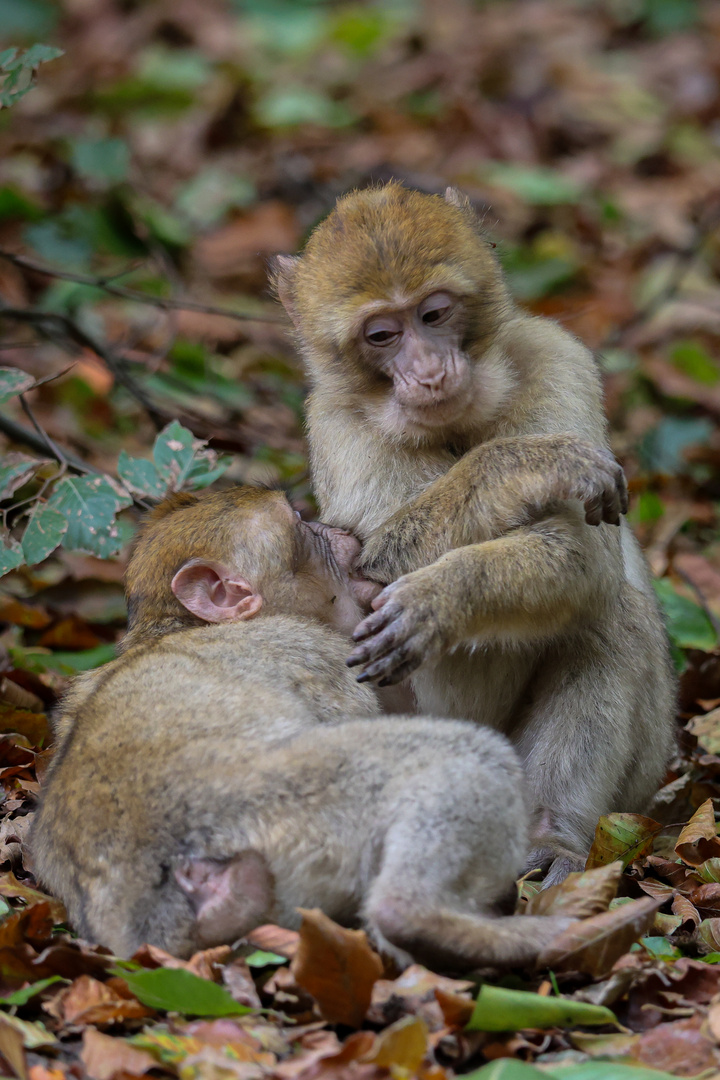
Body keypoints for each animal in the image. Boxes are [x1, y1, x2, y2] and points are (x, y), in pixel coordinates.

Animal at [32, 486, 574, 967]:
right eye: (301, 523)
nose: (337, 529)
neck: (176, 627)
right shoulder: (316, 650)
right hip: (297, 807)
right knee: (455, 753)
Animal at [269, 183, 677, 885]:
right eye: (383, 334)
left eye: (434, 314)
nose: (430, 370)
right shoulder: (335, 421)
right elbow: (362, 567)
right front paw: (526, 464)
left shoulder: (556, 358)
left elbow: (580, 555)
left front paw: (440, 598)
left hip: (642, 773)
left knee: (608, 610)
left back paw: (550, 835)